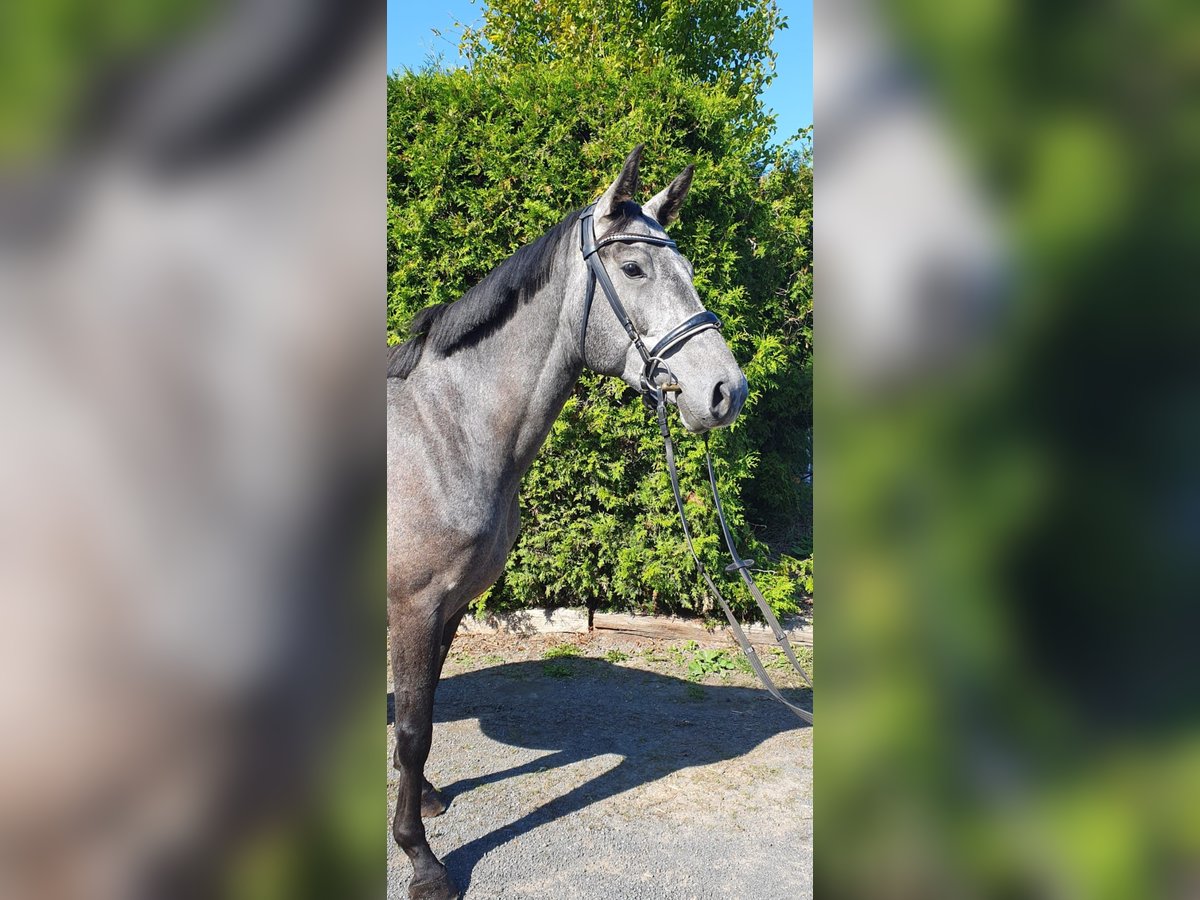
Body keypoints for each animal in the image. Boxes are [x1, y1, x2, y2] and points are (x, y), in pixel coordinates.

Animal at [388, 144, 744, 897]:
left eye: (689, 271)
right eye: (634, 269)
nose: (726, 391)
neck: (442, 432)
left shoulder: (447, 608)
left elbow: (420, 715)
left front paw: (424, 800)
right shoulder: (413, 605)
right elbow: (411, 729)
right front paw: (422, 860)